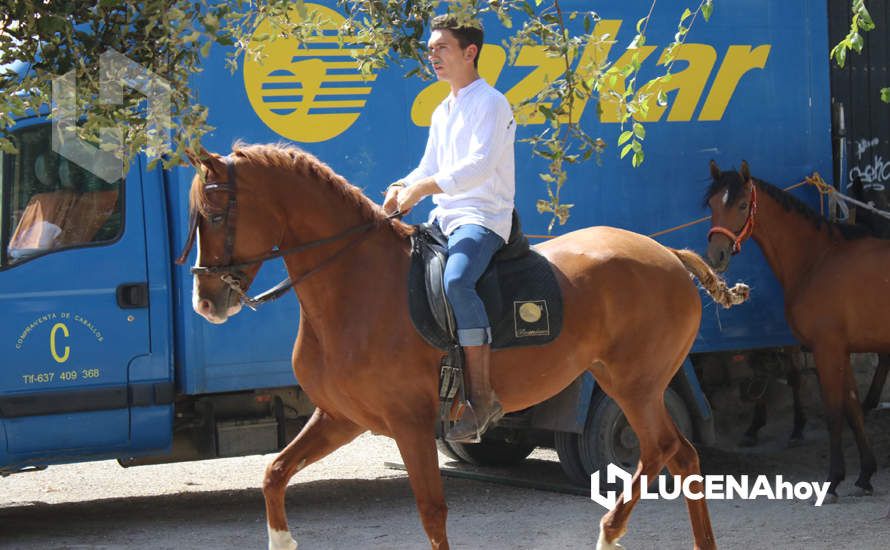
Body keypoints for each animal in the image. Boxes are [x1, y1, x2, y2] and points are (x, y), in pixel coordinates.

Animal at [184, 143, 744, 550]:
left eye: (215, 214)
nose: (206, 302)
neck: (353, 284)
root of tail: (667, 253)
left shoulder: (409, 424)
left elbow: (432, 514)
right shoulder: (341, 418)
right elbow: (275, 473)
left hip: (636, 384)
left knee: (660, 451)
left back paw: (610, 534)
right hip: (624, 380)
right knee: (681, 457)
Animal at [704, 161, 888, 500]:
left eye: (741, 205)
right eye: (711, 204)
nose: (716, 256)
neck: (818, 259)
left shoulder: (827, 349)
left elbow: (834, 412)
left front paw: (833, 480)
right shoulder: (841, 351)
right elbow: (852, 409)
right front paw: (865, 475)